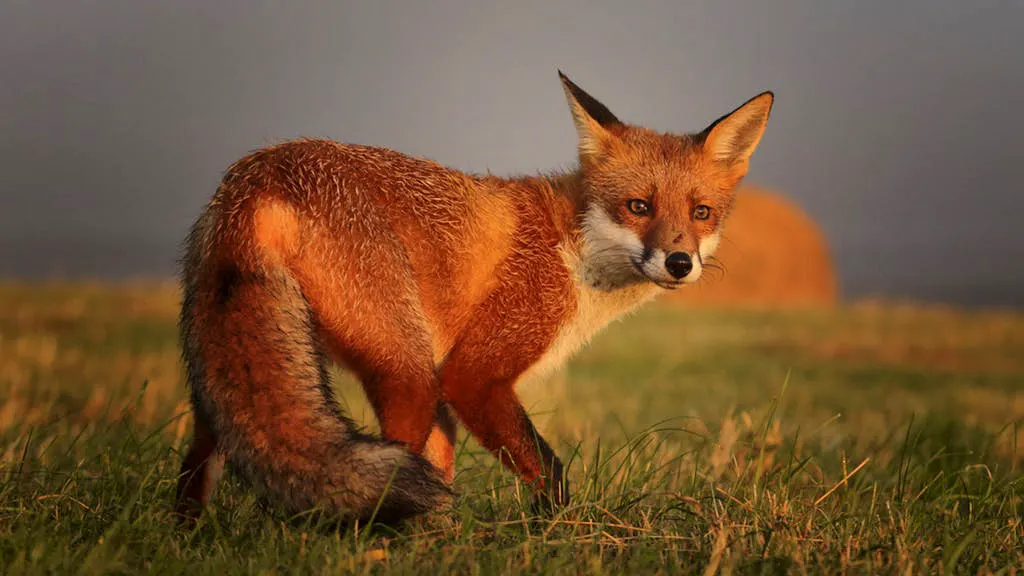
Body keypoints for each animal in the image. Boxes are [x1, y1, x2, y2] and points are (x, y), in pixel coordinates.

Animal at [174, 71, 773, 524]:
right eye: (638, 207)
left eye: (701, 213)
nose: (679, 263)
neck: (570, 247)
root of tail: (260, 172)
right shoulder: (471, 376)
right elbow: (550, 473)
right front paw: (558, 534)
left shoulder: (450, 397)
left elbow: (445, 477)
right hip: (407, 374)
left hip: (231, 374)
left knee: (198, 469)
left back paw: (191, 539)